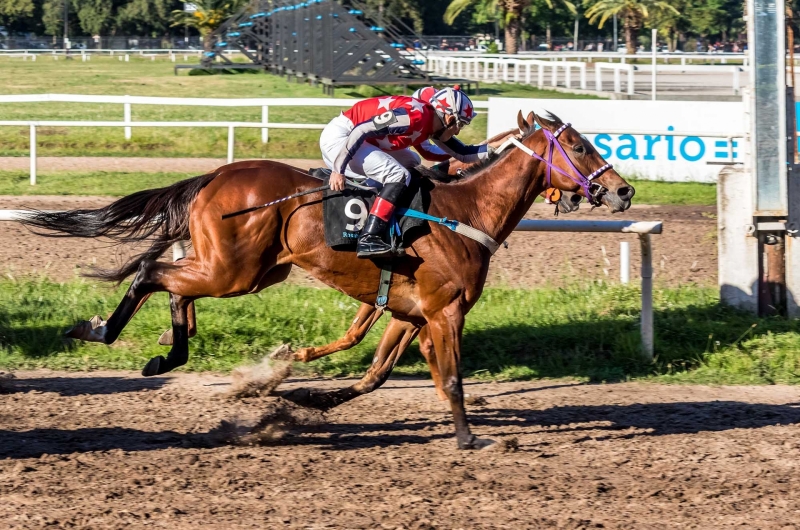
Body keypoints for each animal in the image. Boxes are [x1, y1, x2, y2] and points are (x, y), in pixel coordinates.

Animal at [25, 110, 636, 446]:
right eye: (578, 145)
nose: (623, 190)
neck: (466, 212)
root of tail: (216, 174)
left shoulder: (410, 312)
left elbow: (376, 376)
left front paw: (305, 397)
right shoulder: (444, 312)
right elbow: (451, 379)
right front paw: (469, 439)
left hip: (250, 270)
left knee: (171, 280)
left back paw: (165, 352)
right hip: (234, 269)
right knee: (155, 271)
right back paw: (105, 332)